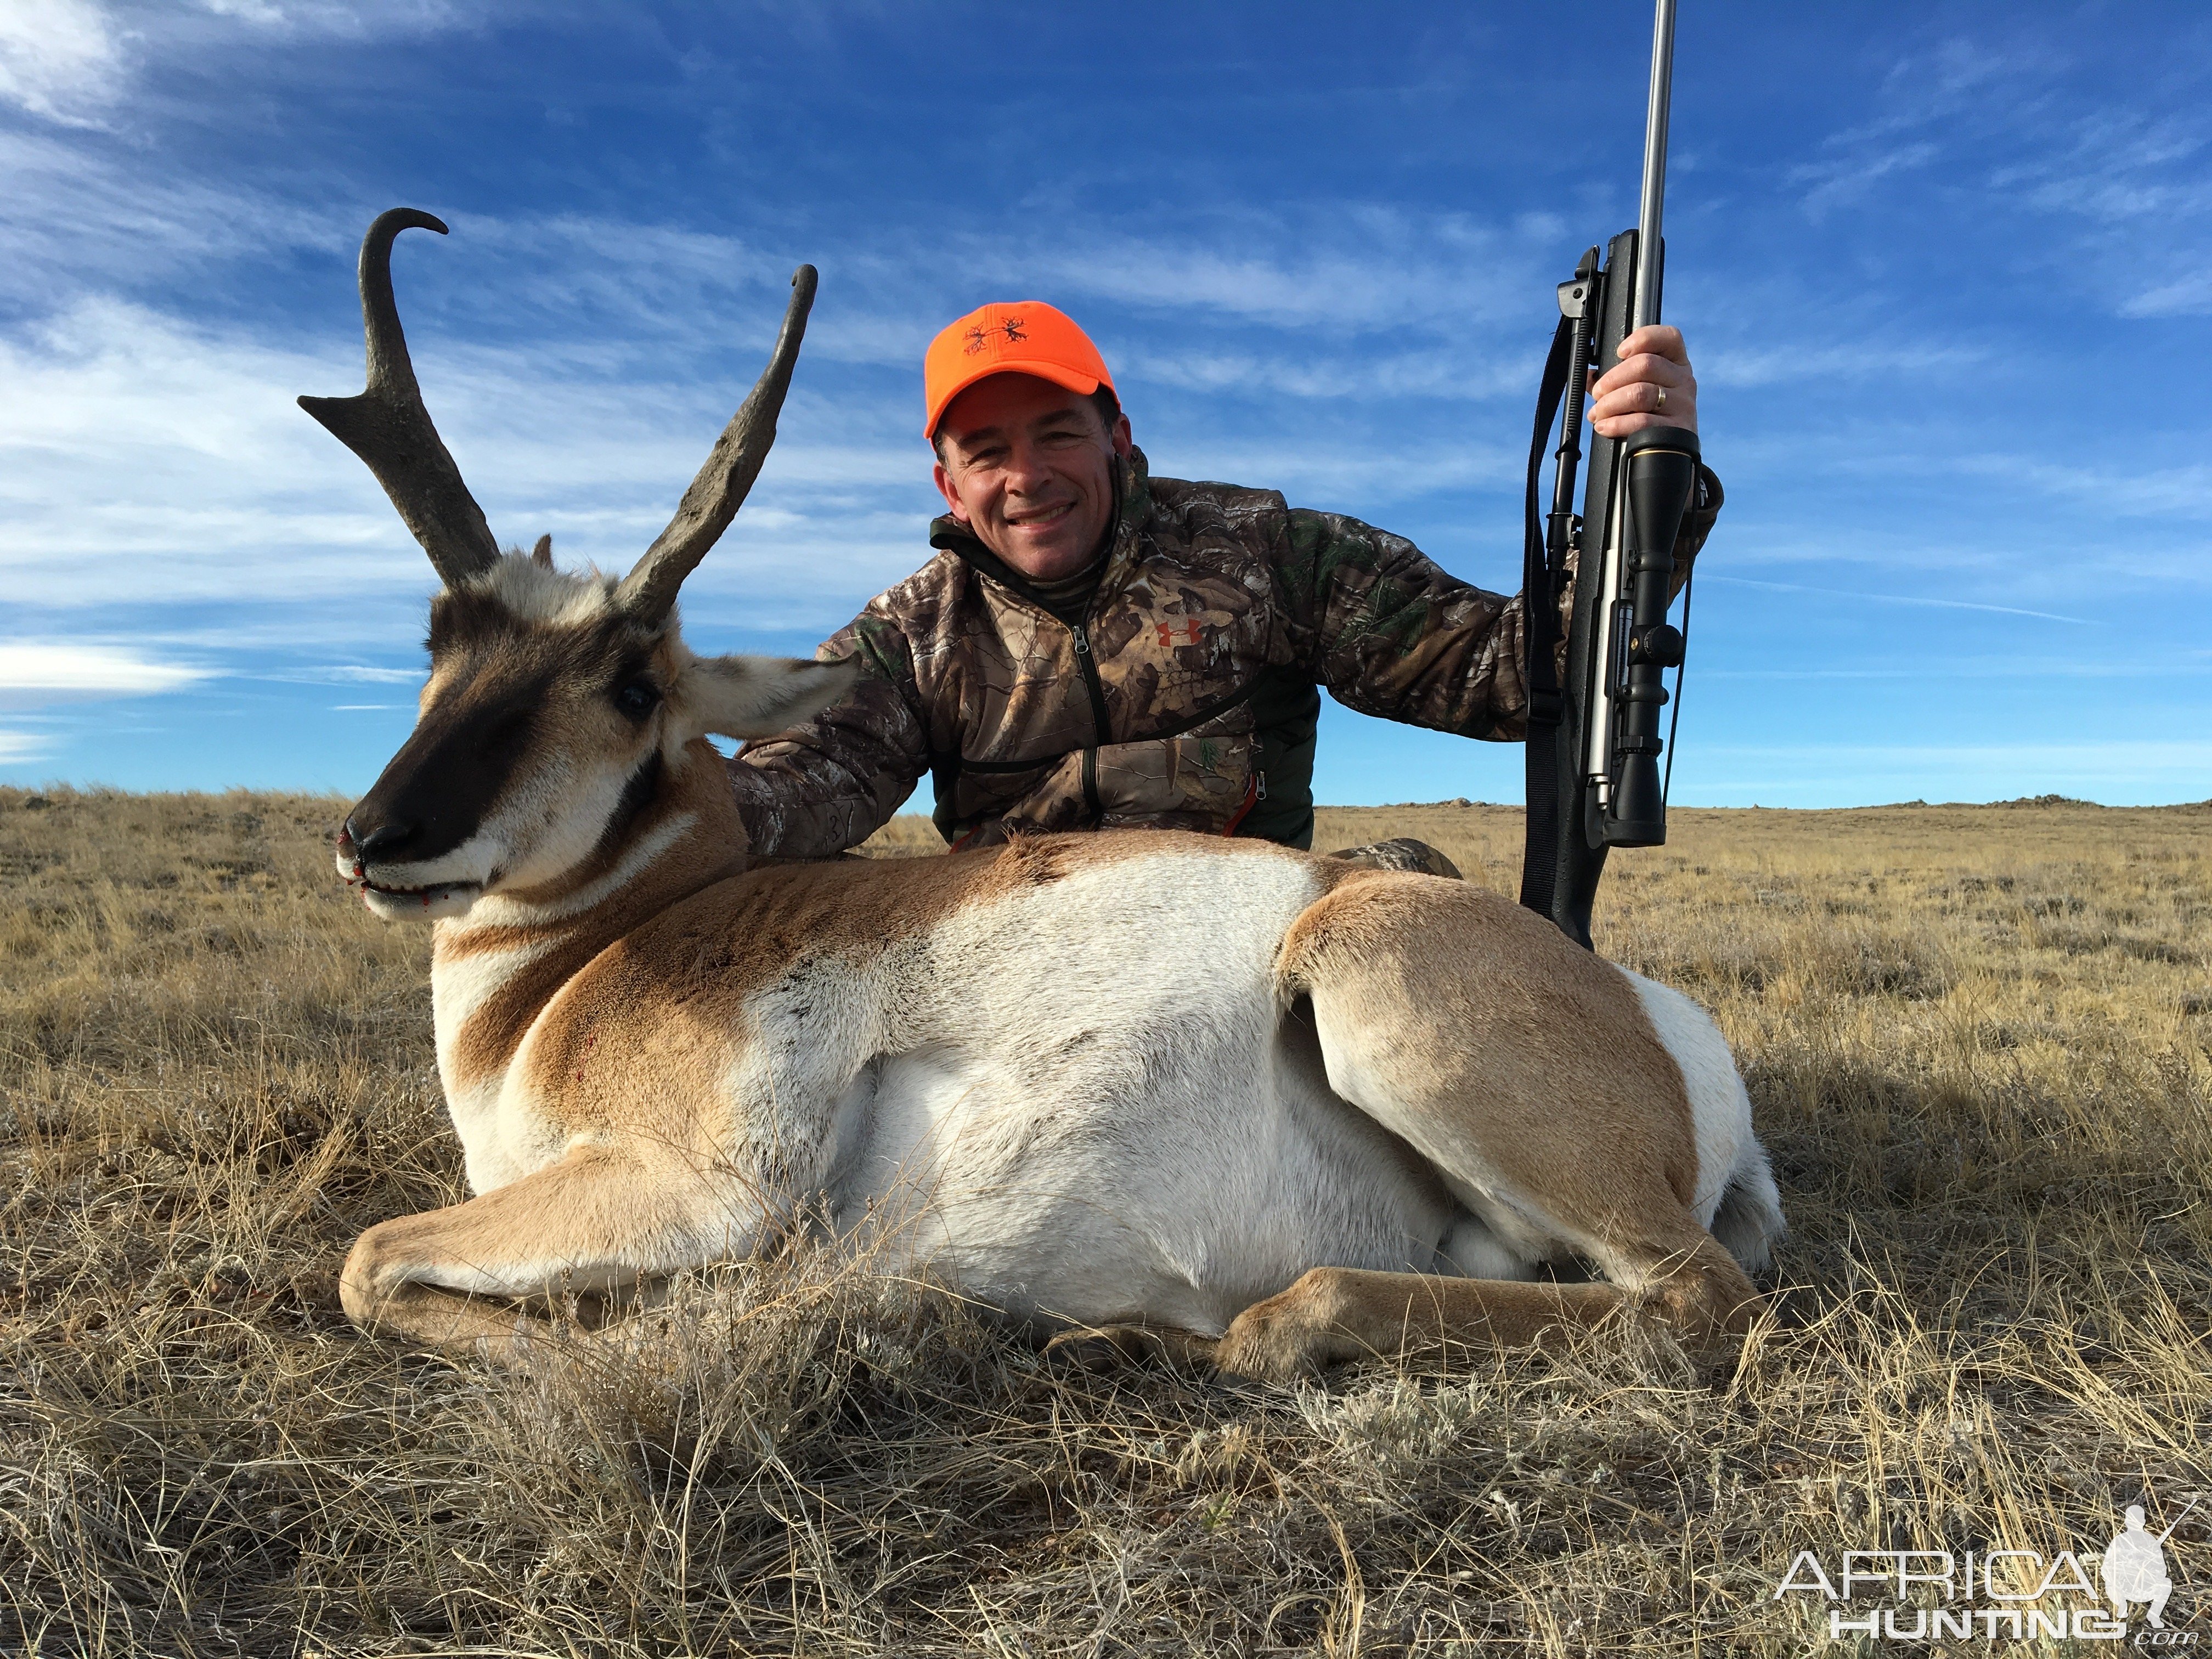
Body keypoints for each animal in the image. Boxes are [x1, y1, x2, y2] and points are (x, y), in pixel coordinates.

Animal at [307, 208, 1778, 1380]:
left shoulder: (692, 1188)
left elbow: (368, 1259)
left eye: (630, 683)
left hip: (1371, 982)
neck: (583, 969)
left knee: (1697, 1299)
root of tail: (1657, 1020)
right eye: (440, 640)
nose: (377, 840)